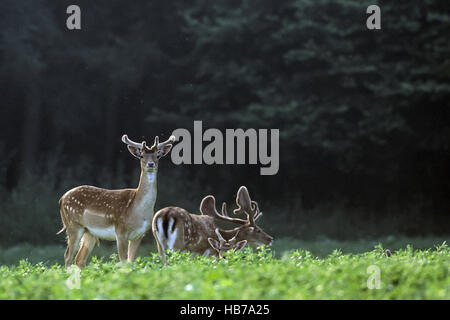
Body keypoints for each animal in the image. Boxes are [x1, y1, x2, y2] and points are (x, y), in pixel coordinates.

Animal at [56, 133, 176, 268]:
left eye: (158, 155)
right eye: (141, 155)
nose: (150, 164)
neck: (138, 210)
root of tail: (62, 199)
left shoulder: (139, 235)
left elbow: (131, 260)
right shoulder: (120, 231)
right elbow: (123, 261)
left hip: (89, 232)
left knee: (79, 259)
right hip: (73, 225)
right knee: (68, 256)